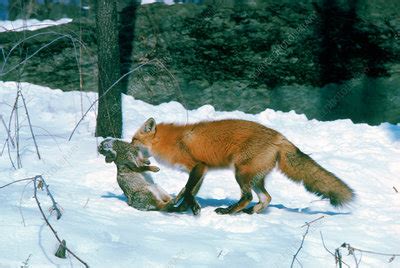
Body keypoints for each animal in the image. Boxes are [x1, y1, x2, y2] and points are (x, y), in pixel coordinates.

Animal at [131, 118, 354, 215]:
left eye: (134, 140)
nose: (127, 146)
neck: (170, 142)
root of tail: (279, 136)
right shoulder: (202, 171)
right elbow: (187, 191)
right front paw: (181, 209)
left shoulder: (197, 166)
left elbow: (187, 191)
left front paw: (191, 208)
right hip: (254, 177)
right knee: (266, 197)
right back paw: (251, 212)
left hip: (241, 173)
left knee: (247, 196)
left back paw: (229, 211)